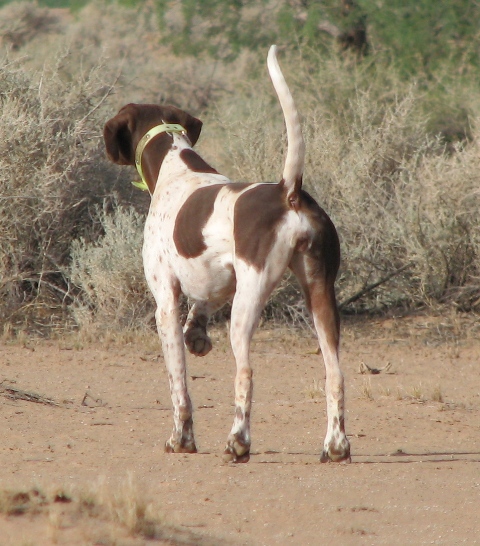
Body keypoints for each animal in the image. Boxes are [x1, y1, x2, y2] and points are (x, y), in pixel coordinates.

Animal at [104, 45, 348, 460]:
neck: (175, 166)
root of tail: (289, 191)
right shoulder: (218, 280)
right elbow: (199, 309)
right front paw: (197, 336)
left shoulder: (165, 302)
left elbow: (180, 388)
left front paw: (181, 439)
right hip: (320, 295)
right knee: (335, 373)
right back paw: (336, 446)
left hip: (249, 303)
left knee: (245, 373)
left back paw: (238, 442)